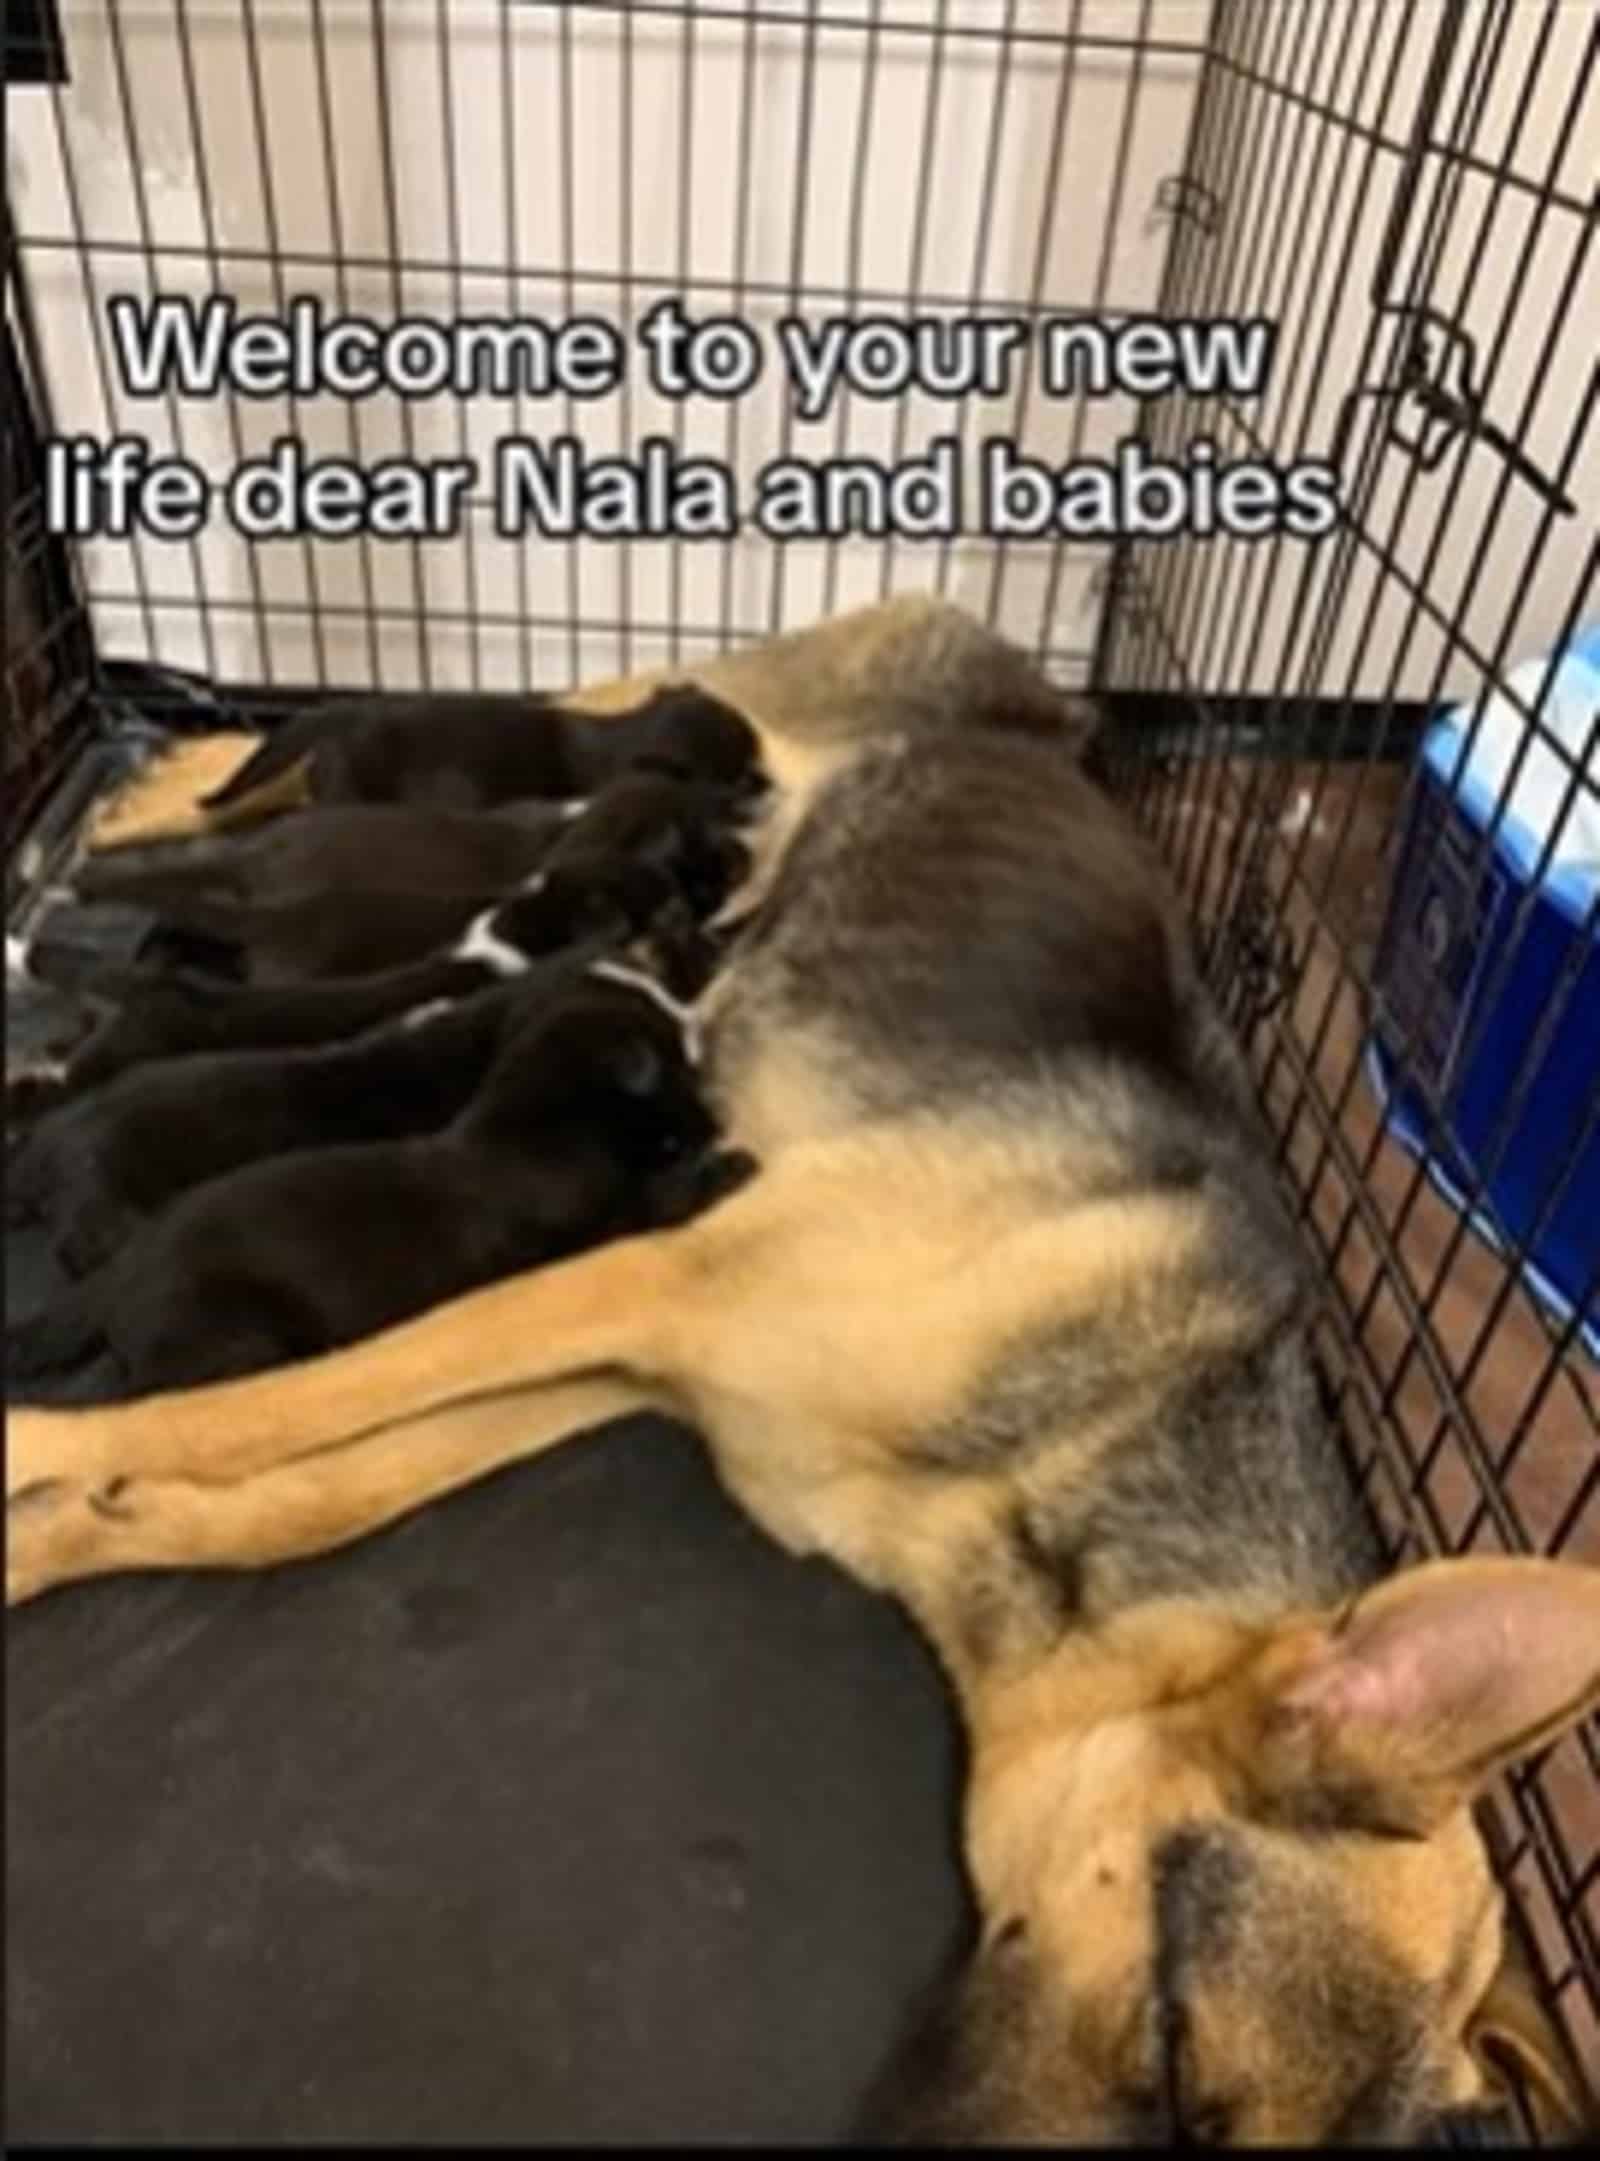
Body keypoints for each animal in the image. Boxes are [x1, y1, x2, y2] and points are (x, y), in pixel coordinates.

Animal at [6, 596, 1591, 2143]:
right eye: (1178, 2052)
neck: (1073, 1453)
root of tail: (1051, 710)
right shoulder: (647, 1282)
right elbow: (265, 1411)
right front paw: (40, 1468)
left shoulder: (644, 1366)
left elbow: (312, 1487)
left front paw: (100, 1519)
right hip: (737, 691)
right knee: (487, 710)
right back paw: (156, 782)